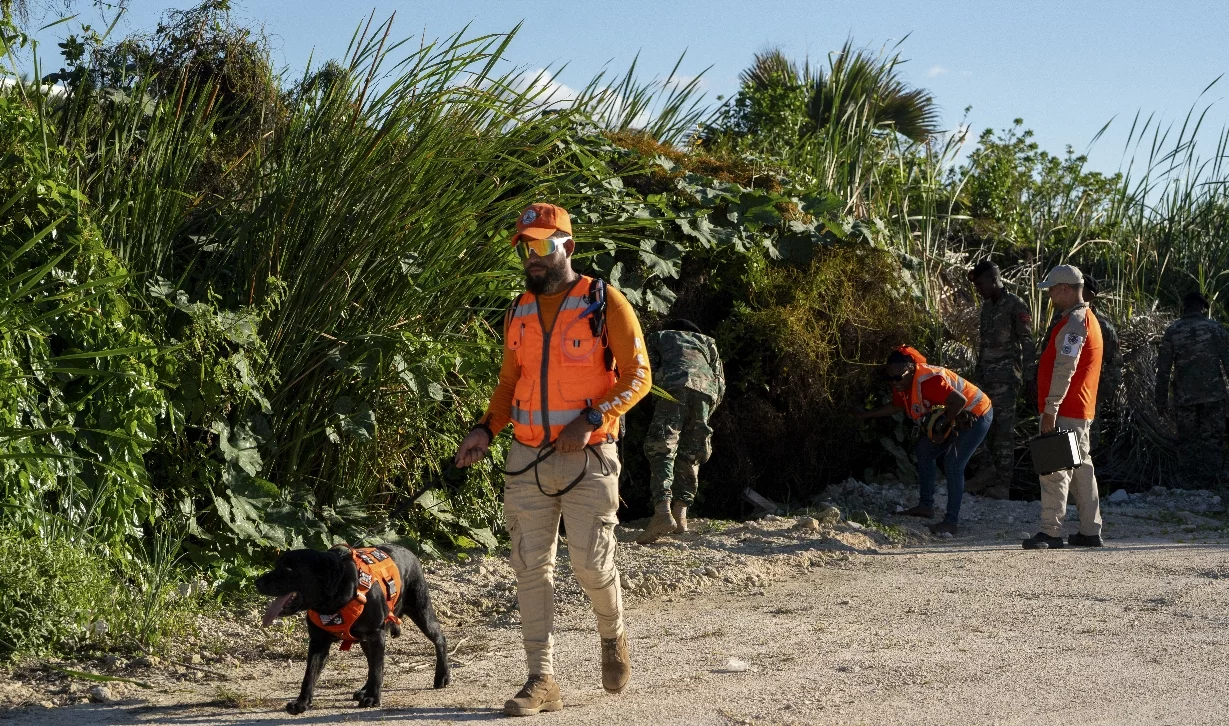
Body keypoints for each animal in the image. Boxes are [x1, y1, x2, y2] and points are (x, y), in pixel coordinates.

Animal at [255, 542, 452, 712]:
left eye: (289, 569)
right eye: (277, 565)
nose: (257, 582)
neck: (333, 599)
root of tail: (408, 551)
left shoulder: (376, 634)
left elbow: (378, 669)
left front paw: (373, 698)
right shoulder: (318, 642)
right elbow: (309, 675)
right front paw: (302, 702)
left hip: (421, 611)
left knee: (440, 639)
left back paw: (442, 676)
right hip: (366, 639)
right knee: (371, 663)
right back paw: (364, 690)